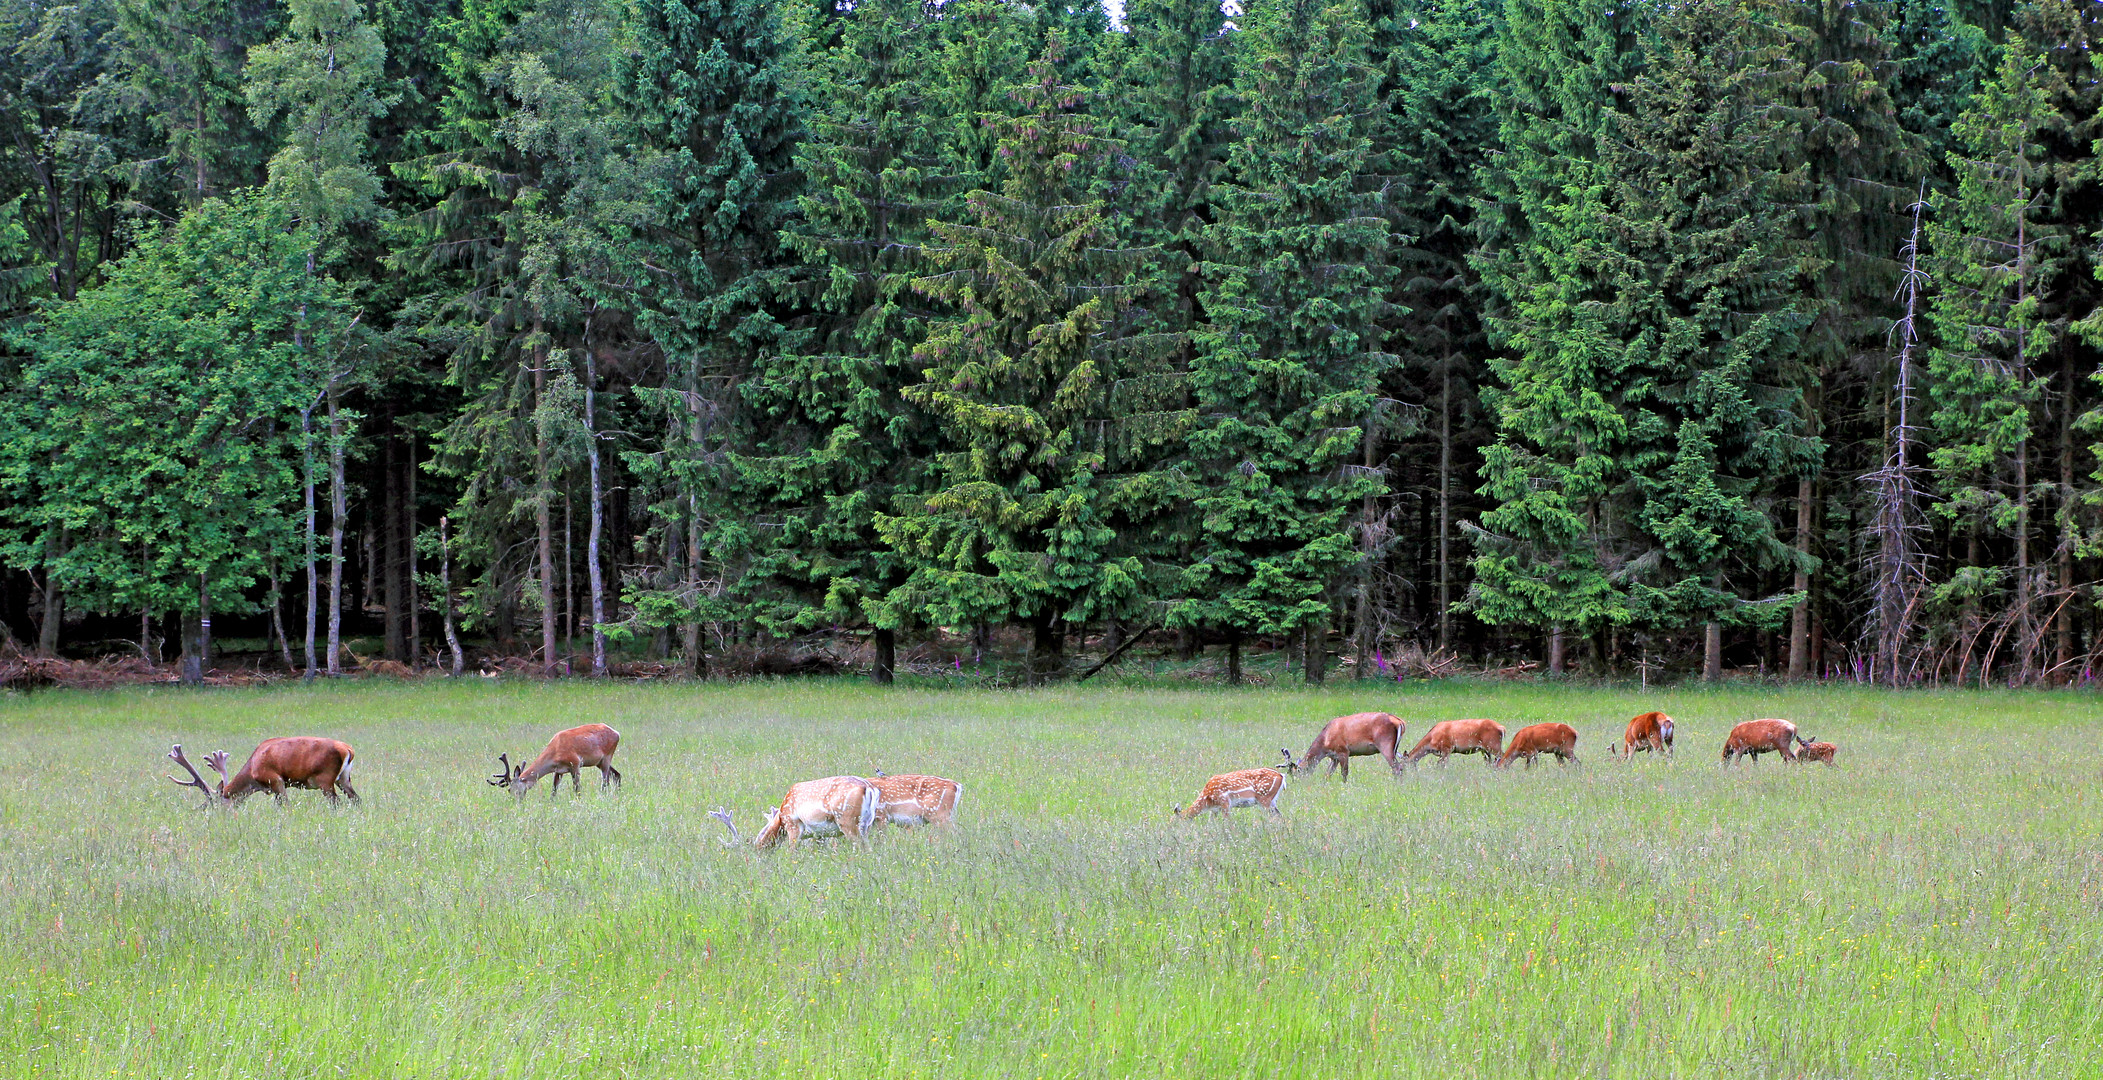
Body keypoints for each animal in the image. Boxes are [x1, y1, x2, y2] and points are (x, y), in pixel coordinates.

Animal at [166, 735, 359, 802]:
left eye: (218, 802)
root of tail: (348, 749)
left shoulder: (275, 779)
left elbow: (285, 804)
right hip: (344, 778)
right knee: (356, 799)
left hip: (325, 778)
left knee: (336, 802)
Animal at [487, 718, 618, 794]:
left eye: (510, 789)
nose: (515, 802)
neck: (556, 752)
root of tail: (617, 733)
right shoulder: (558, 771)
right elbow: (553, 791)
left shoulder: (575, 763)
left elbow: (577, 789)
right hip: (599, 762)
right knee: (616, 774)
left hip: (607, 755)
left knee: (605, 781)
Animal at [706, 773, 870, 848]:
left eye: (757, 849)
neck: (780, 820)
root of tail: (867, 788)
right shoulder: (819, 835)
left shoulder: (794, 828)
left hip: (848, 822)